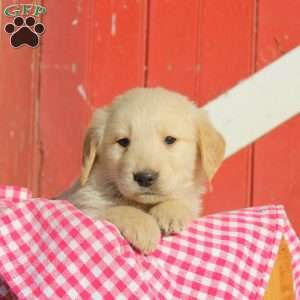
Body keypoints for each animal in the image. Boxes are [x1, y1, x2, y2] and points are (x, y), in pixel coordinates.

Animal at [69, 86, 225, 253]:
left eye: (170, 139)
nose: (144, 177)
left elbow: (184, 200)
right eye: (123, 141)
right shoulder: (86, 205)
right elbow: (118, 209)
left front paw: (171, 211)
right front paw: (144, 227)